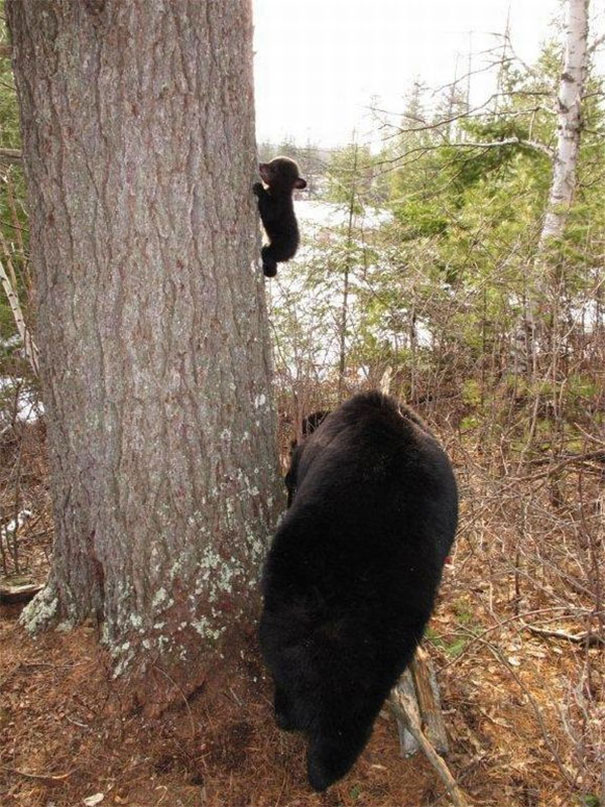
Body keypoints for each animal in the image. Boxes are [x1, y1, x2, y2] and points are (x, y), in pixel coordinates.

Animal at [259, 391, 458, 791]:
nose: (289, 447)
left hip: (289, 603)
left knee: (289, 670)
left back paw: (291, 721)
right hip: (390, 637)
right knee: (354, 707)